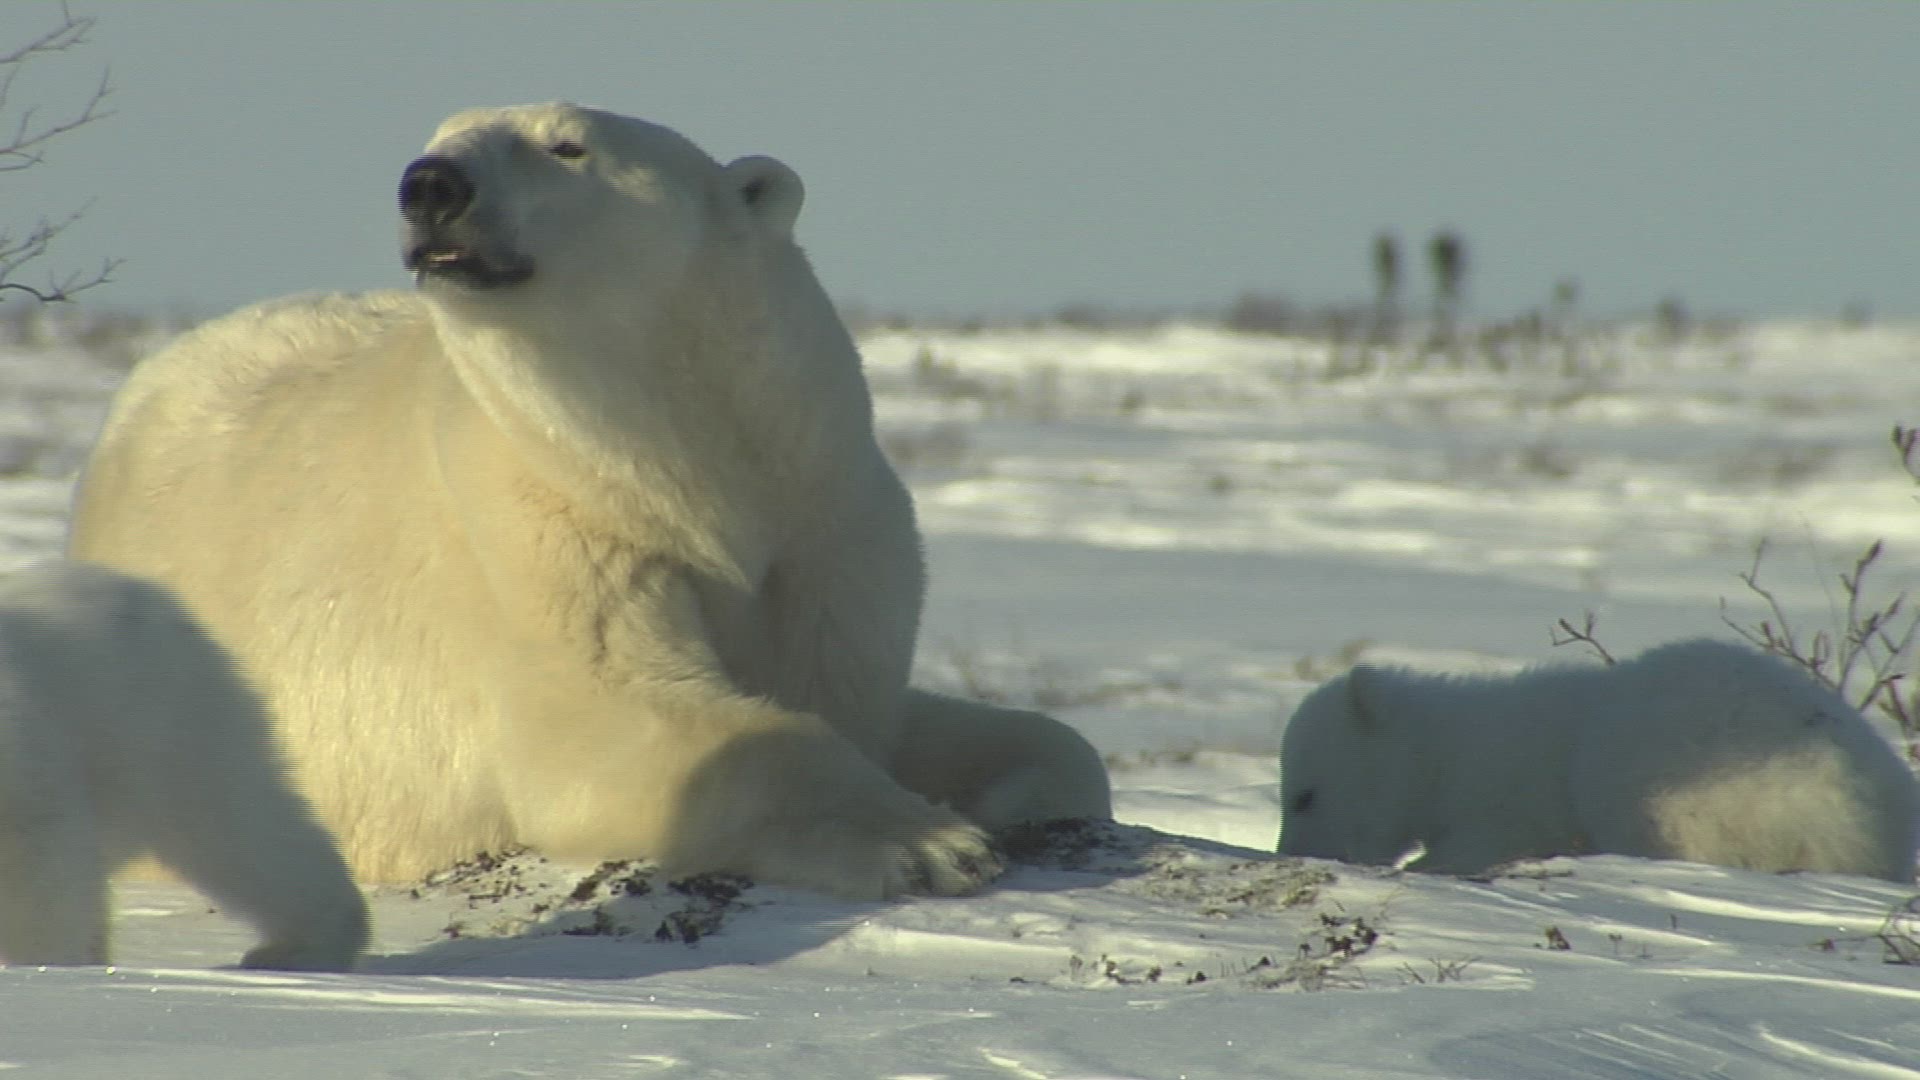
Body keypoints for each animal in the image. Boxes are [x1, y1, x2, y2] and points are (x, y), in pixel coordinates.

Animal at [69, 103, 1110, 901]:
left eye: (566, 144)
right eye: (437, 136)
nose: (430, 185)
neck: (679, 459)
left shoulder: (824, 530)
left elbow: (894, 710)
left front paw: (1013, 797)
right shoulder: (542, 525)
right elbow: (623, 716)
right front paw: (929, 844)